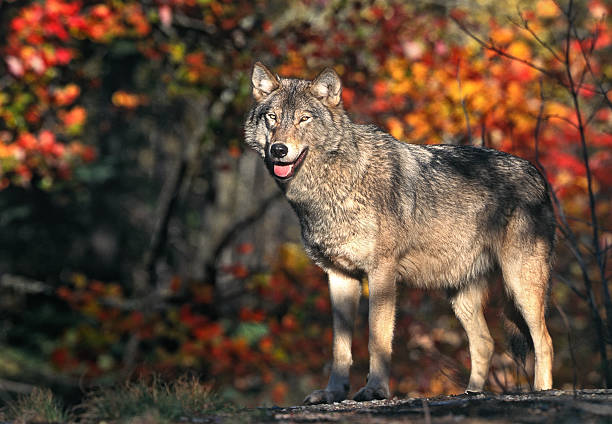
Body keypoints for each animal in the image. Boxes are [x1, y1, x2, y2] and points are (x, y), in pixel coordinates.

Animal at [243, 62, 556, 404]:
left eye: (304, 118)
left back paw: (543, 391)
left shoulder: (382, 273)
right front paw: (332, 393)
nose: (279, 149)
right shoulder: (339, 276)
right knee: (485, 342)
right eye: (272, 117)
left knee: (544, 340)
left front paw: (375, 390)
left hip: (519, 284)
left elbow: (377, 339)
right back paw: (471, 393)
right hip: (460, 294)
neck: (332, 186)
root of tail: (537, 173)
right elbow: (340, 347)